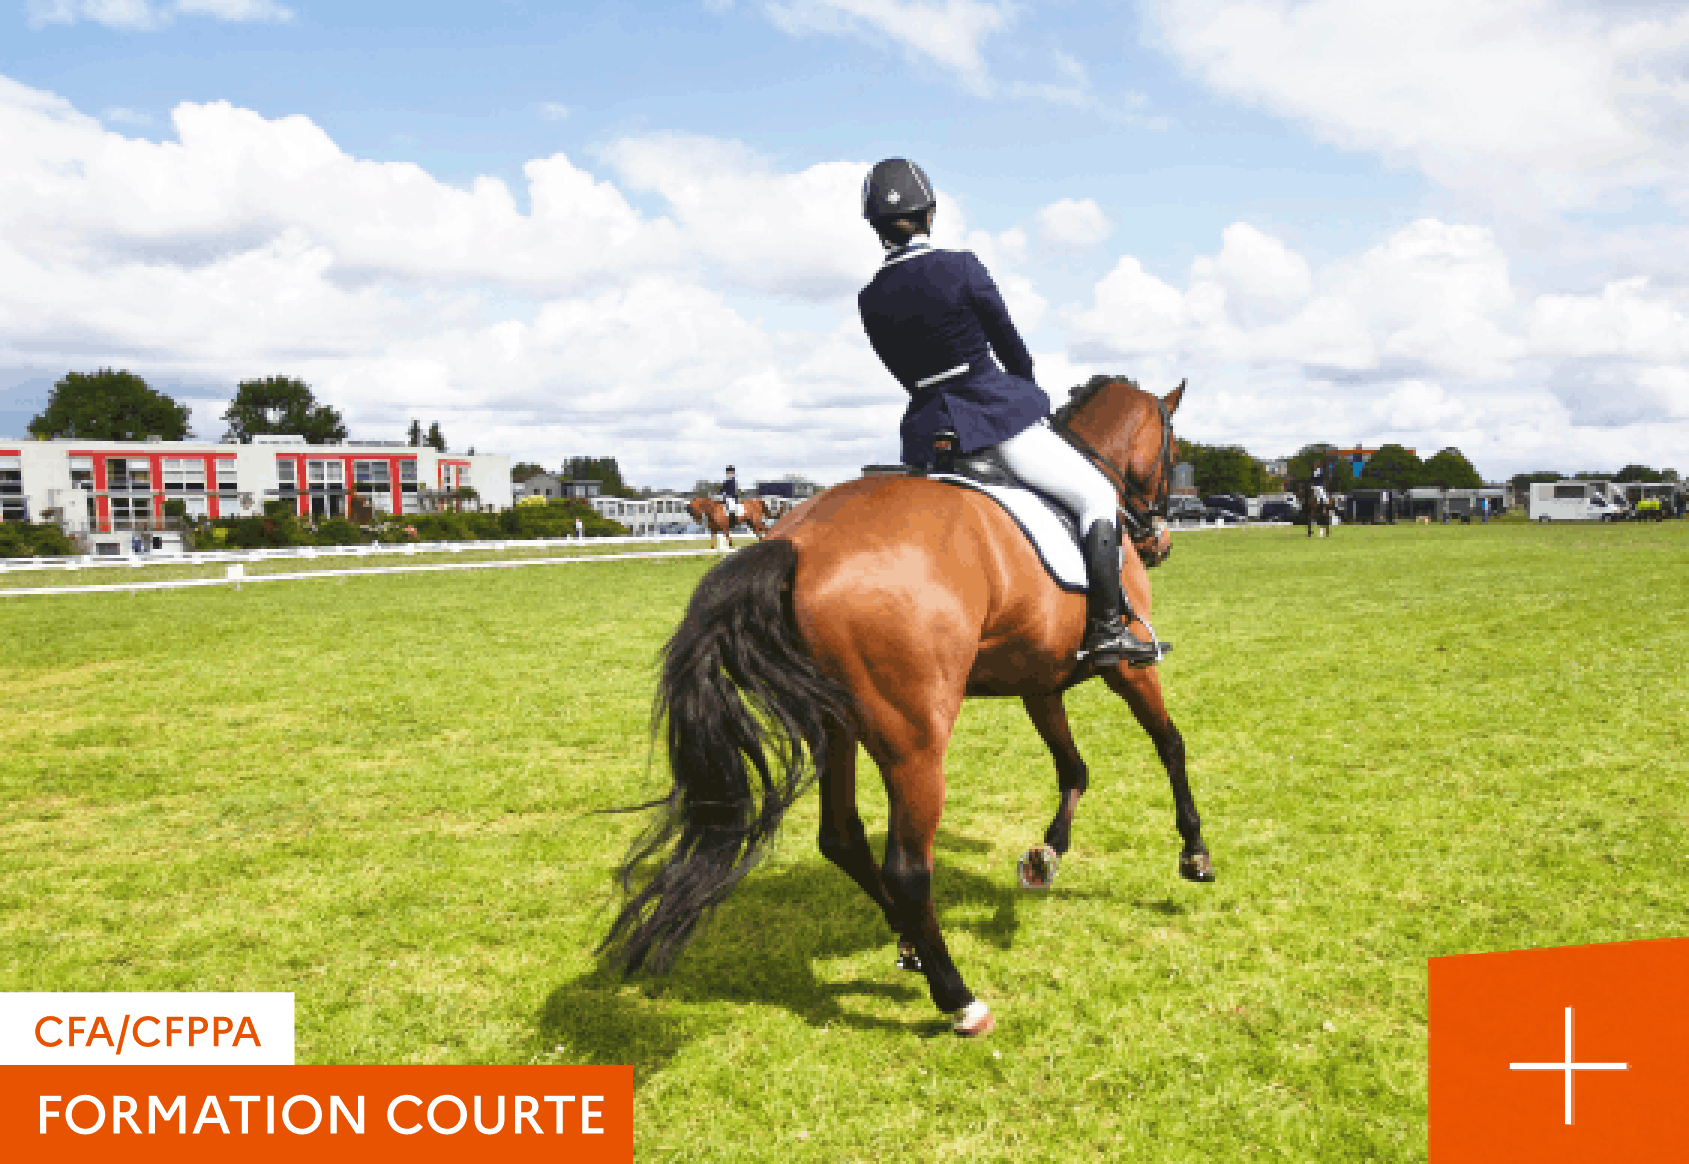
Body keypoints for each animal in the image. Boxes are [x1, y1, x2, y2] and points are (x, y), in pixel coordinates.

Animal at [604, 377, 1213, 1038]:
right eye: (1175, 450)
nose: (1161, 543)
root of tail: (797, 541)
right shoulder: (1130, 667)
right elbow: (1170, 743)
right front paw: (1194, 853)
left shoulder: (1039, 684)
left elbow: (1073, 768)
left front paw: (1044, 857)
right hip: (915, 740)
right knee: (907, 866)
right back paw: (958, 998)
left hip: (835, 726)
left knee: (842, 837)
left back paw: (911, 944)